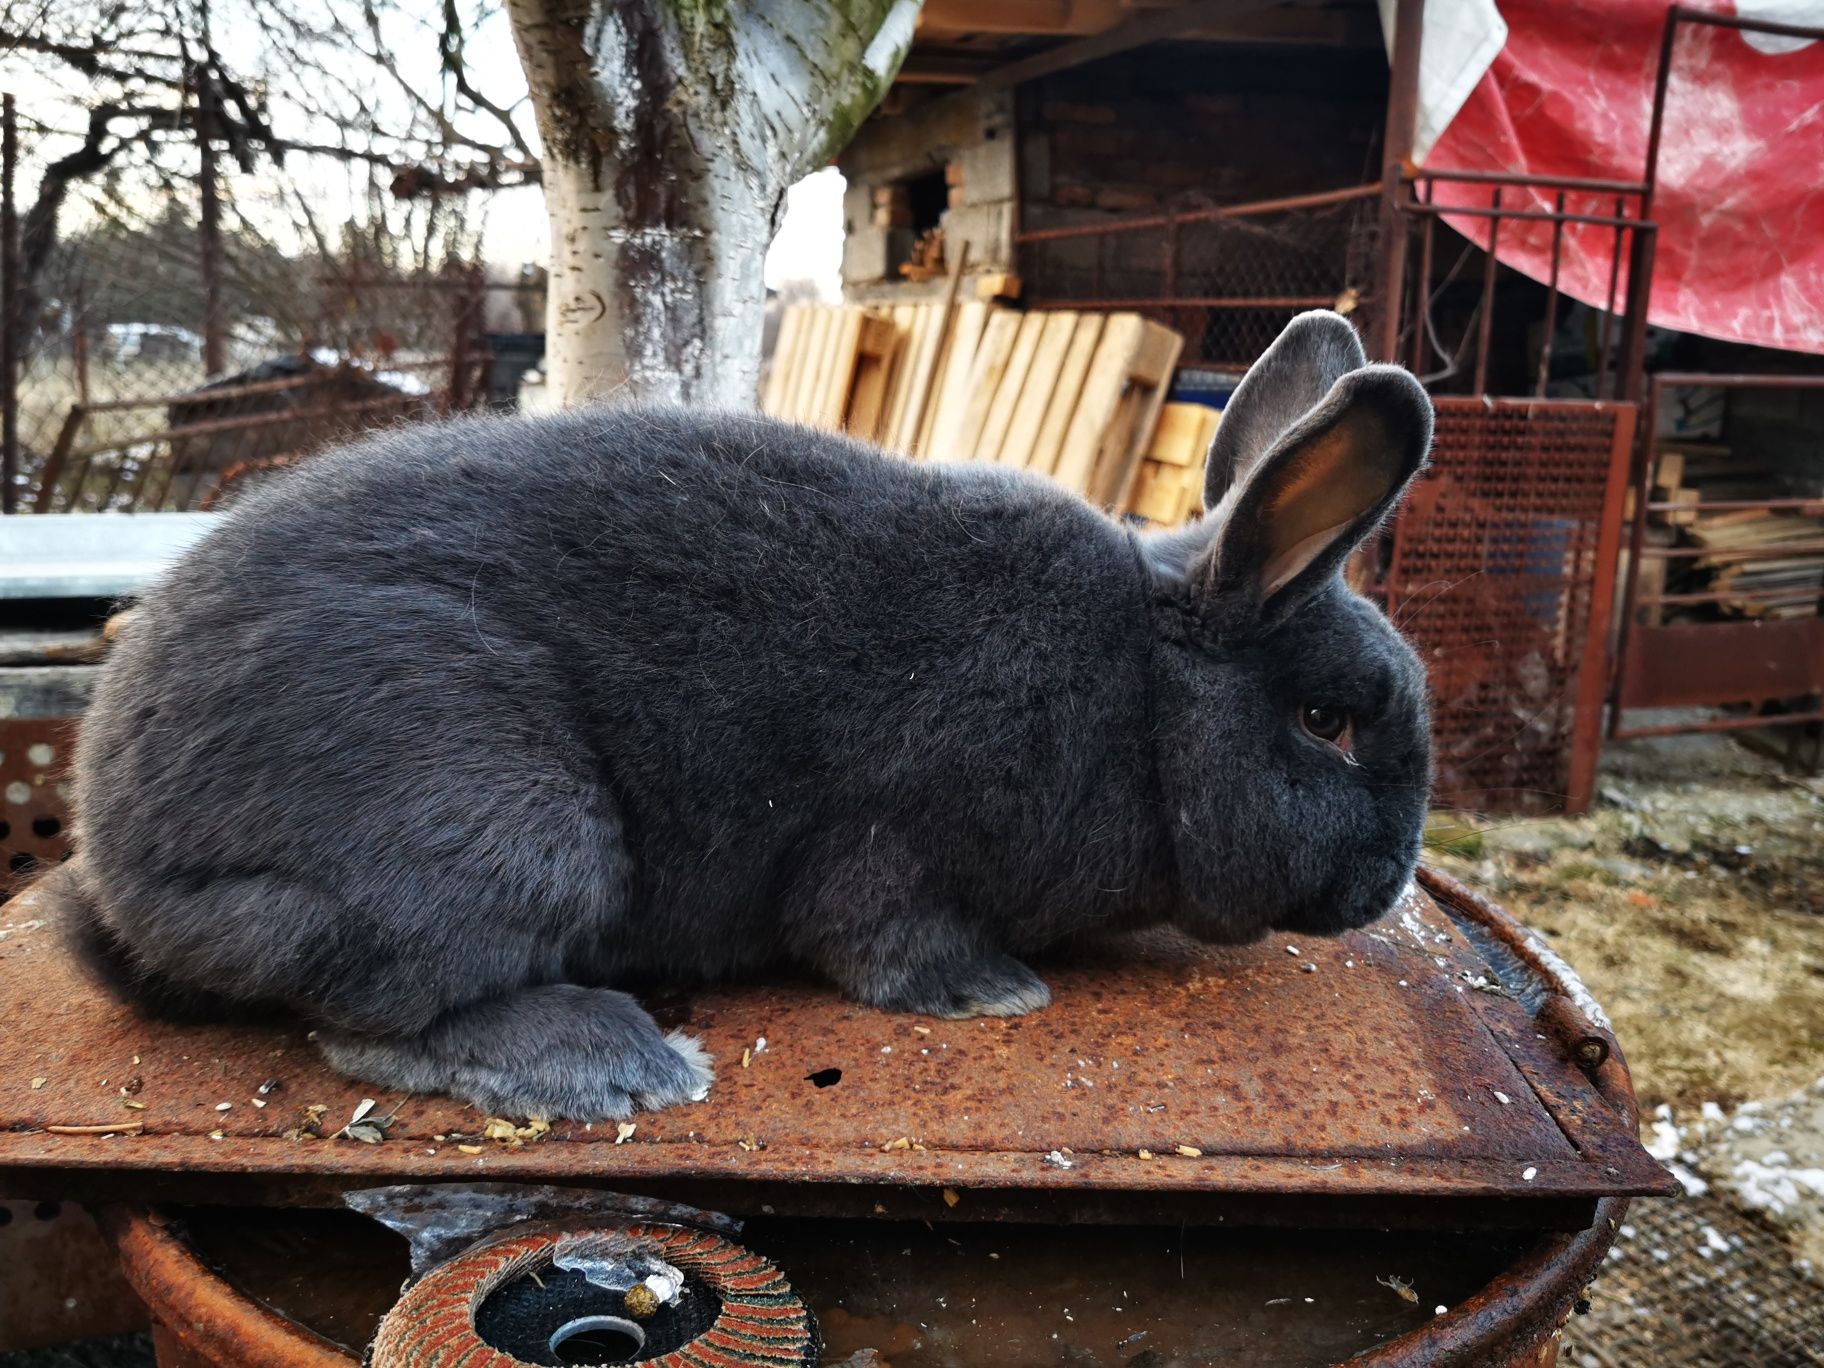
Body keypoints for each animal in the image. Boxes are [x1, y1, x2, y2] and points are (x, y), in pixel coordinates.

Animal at [49, 313, 1430, 1123]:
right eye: (1325, 720)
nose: (1387, 886)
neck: (1141, 692)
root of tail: (127, 871)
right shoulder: (895, 843)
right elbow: (884, 938)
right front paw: (992, 994)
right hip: (505, 822)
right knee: (377, 1026)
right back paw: (613, 1061)